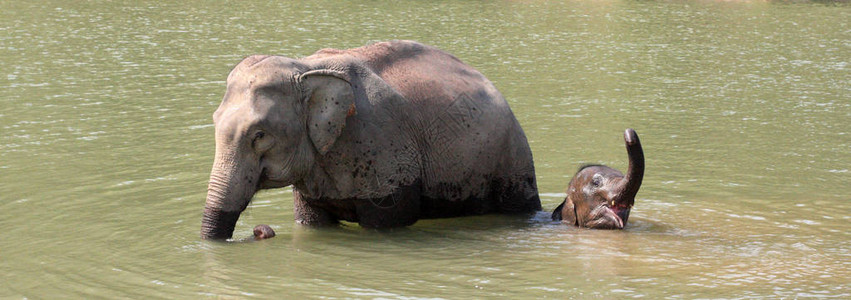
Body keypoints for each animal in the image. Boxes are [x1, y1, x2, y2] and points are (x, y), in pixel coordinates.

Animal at [201, 41, 540, 240]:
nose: (261, 231)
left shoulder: (382, 143)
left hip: (510, 154)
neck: (306, 67)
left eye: (259, 135)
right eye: (214, 122)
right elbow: (311, 222)